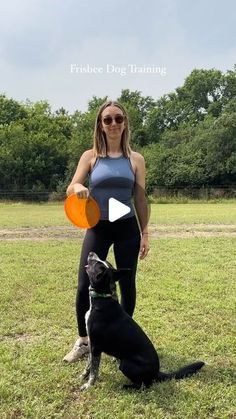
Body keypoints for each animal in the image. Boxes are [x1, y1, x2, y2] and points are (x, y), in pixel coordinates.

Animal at [79, 251, 205, 392]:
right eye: (100, 261)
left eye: (95, 263)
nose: (91, 253)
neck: (103, 298)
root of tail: (157, 372)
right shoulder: (91, 343)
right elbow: (89, 364)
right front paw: (83, 376)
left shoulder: (96, 346)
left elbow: (94, 370)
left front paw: (88, 385)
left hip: (126, 364)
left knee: (144, 385)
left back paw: (126, 386)